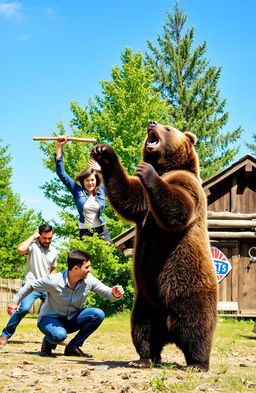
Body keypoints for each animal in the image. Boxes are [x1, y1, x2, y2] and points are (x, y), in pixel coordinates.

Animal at [91, 121, 217, 370]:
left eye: (168, 128)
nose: (152, 123)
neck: (164, 168)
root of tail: (170, 331)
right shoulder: (144, 202)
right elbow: (129, 198)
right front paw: (104, 153)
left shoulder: (187, 183)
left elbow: (180, 207)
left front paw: (145, 170)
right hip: (146, 301)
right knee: (143, 330)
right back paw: (142, 359)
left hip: (190, 290)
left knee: (197, 328)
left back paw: (197, 363)